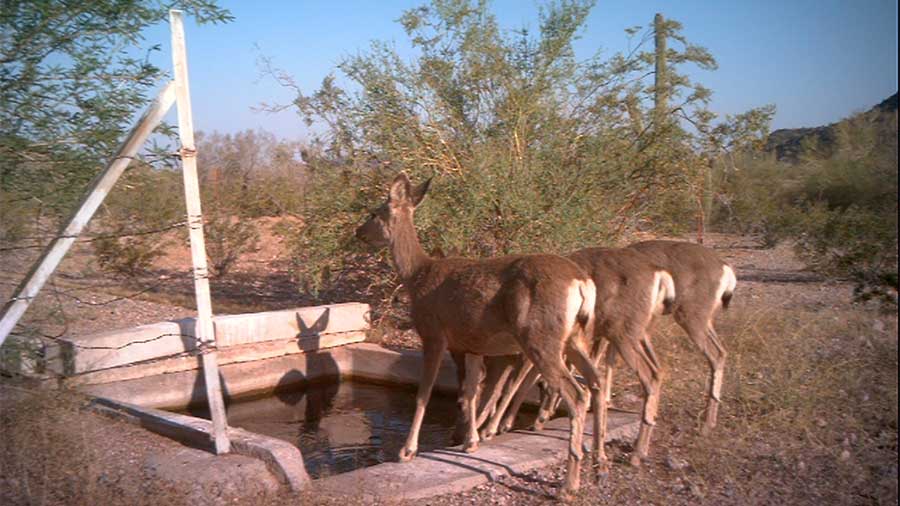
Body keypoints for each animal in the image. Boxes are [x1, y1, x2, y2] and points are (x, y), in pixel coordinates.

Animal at [356, 174, 604, 498]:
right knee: (597, 382)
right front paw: (470, 442)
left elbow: (425, 393)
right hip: (575, 337)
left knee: (577, 394)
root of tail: (582, 281)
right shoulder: (472, 343)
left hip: (541, 337)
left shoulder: (434, 333)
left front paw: (407, 451)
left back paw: (569, 486)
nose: (358, 232)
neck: (417, 275)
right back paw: (600, 465)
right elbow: (471, 392)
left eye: (374, 213)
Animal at [624, 239, 740, 432]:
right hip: (704, 320)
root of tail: (724, 266)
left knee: (715, 354)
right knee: (722, 352)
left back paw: (707, 424)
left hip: (689, 318)